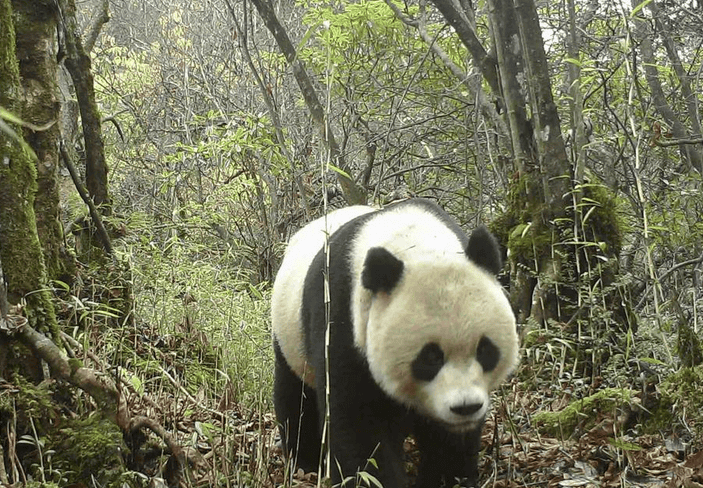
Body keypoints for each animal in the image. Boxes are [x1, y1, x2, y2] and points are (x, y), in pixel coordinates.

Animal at [272, 198, 520, 488]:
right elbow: (358, 424)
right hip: (289, 333)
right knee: (296, 397)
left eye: (485, 349)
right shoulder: (340, 321)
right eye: (430, 357)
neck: (416, 244)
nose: (465, 407)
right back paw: (306, 461)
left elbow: (448, 442)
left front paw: (448, 477)